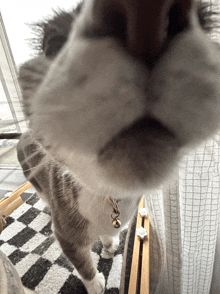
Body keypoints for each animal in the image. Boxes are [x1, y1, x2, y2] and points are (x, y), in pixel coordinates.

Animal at [17, 1, 220, 292]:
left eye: (203, 25)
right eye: (53, 43)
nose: (146, 20)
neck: (111, 195)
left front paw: (110, 242)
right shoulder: (65, 232)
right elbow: (82, 262)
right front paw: (95, 284)